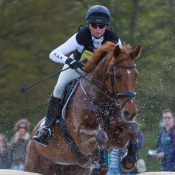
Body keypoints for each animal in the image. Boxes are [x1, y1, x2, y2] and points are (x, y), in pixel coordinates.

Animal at [24, 41, 142, 175]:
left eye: (136, 75)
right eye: (117, 76)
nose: (130, 112)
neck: (103, 104)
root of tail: (33, 134)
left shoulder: (116, 137)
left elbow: (133, 127)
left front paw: (128, 160)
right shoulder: (81, 139)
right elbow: (101, 135)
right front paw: (101, 165)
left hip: (72, 168)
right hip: (34, 164)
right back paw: (43, 135)